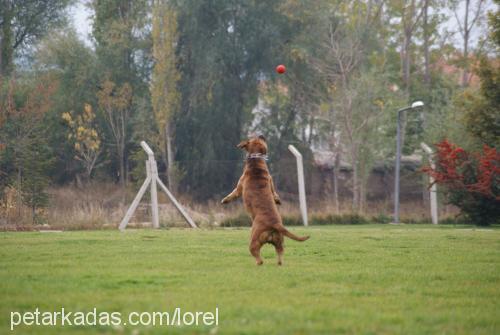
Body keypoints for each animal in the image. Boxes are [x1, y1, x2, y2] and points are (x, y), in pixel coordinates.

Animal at [222, 135, 308, 266]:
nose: (262, 135)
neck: (256, 161)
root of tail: (274, 224)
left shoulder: (239, 188)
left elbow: (232, 194)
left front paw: (225, 200)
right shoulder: (271, 183)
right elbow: (275, 193)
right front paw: (277, 200)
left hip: (254, 240)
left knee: (258, 257)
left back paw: (257, 263)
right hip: (279, 242)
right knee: (280, 254)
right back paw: (278, 263)